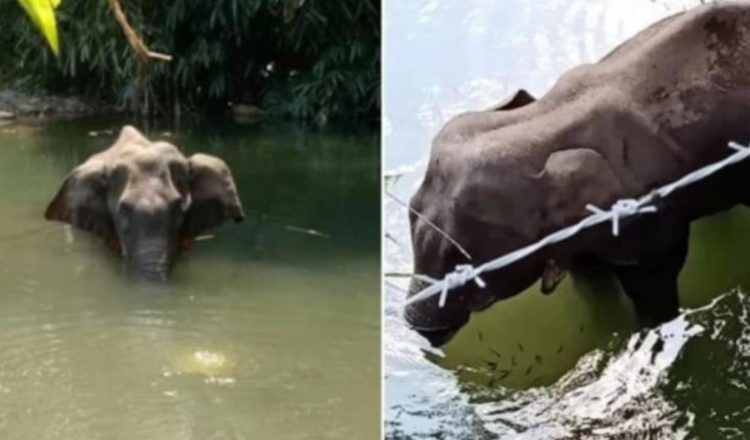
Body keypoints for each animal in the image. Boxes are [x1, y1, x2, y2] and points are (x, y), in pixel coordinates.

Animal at [405, 2, 750, 346]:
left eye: (462, 263)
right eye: (410, 210)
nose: (425, 334)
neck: (546, 117)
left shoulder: (647, 217)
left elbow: (653, 282)